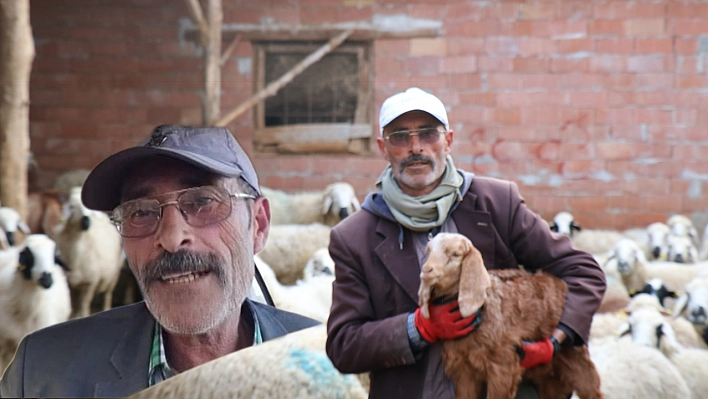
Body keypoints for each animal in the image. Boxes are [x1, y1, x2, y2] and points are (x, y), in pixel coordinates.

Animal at [49, 187, 124, 318]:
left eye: (89, 209)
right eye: (72, 206)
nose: (86, 221)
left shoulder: (90, 284)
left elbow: (84, 307)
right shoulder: (69, 283)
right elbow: (73, 308)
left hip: (114, 276)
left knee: (107, 296)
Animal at [418, 233, 604, 399]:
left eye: (456, 254)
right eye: (428, 251)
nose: (426, 270)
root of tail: (561, 283)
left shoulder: (503, 366)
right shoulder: (463, 369)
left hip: (576, 359)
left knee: (593, 391)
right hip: (550, 378)